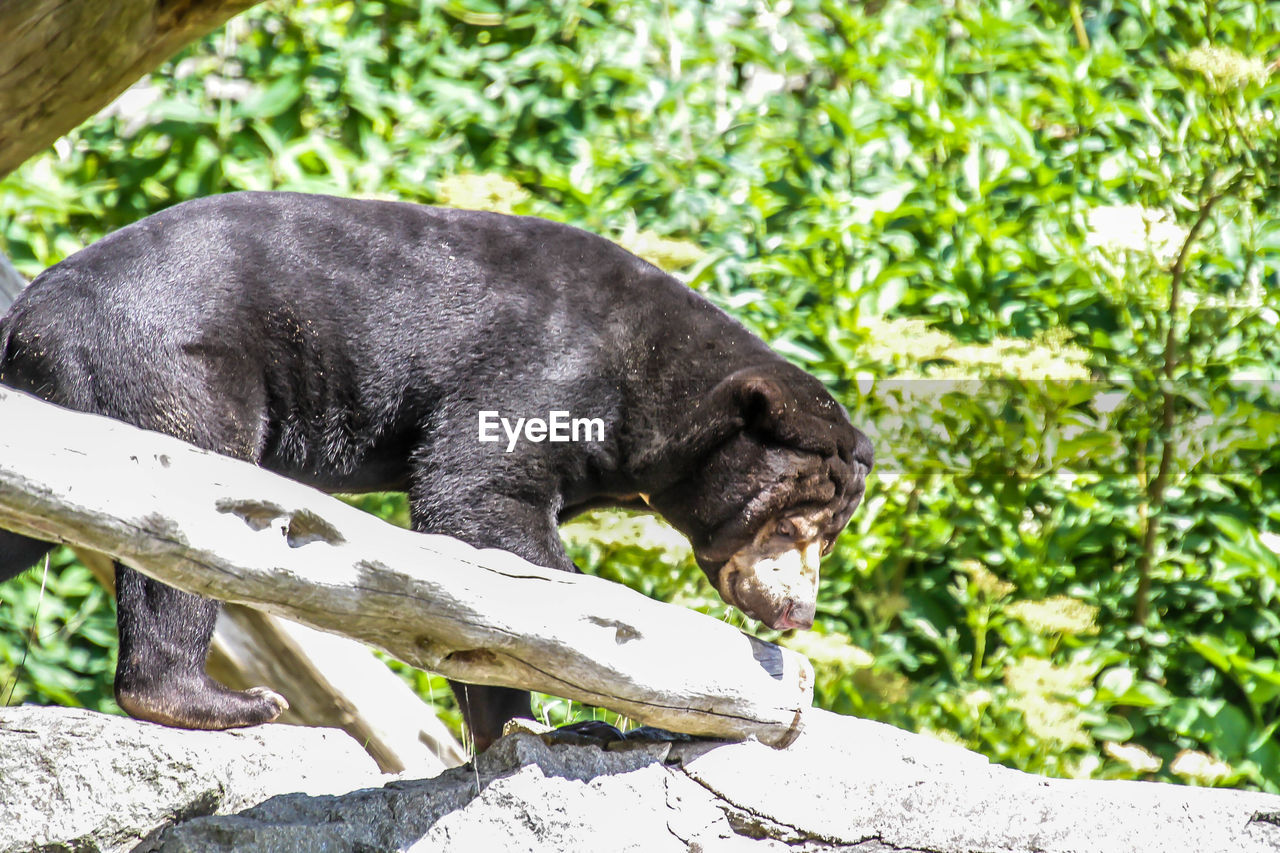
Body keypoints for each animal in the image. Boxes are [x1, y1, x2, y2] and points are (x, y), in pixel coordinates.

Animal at [0, 189, 870, 747]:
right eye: (790, 521)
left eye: (827, 536)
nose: (795, 611)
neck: (650, 378)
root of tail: (29, 317)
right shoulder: (544, 368)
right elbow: (478, 498)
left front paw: (509, 724)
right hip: (168, 362)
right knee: (187, 508)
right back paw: (216, 700)